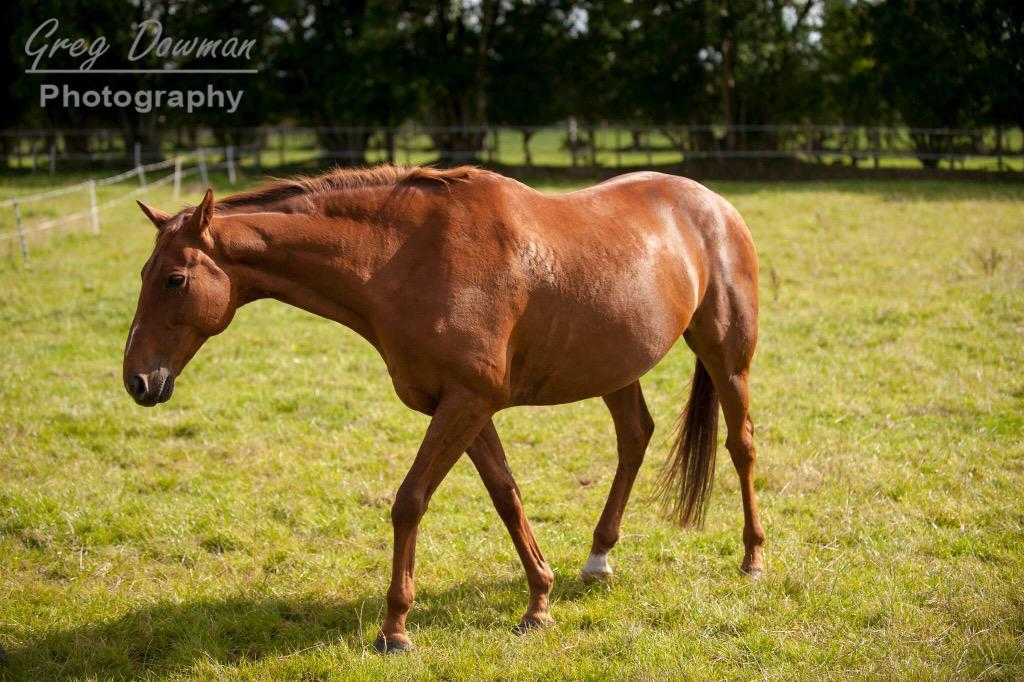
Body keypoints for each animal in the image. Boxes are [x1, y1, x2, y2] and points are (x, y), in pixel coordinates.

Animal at [123, 165, 765, 652]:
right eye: (144, 272)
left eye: (175, 279)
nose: (138, 381)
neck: (405, 257)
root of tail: (713, 204)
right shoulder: (466, 407)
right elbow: (507, 498)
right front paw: (539, 603)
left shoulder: (466, 403)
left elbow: (410, 501)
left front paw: (395, 629)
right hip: (615, 368)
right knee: (635, 437)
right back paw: (598, 558)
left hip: (727, 358)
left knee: (741, 445)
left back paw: (753, 558)